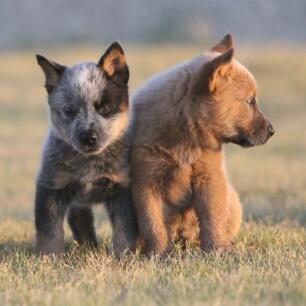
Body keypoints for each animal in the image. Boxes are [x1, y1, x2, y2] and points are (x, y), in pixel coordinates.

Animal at [35, 41, 137, 256]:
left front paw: (124, 257)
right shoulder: (51, 186)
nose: (89, 137)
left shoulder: (122, 189)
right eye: (70, 111)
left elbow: (124, 230)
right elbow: (49, 231)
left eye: (105, 108)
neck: (89, 164)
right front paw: (48, 258)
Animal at [130, 34, 274, 256]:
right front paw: (160, 253)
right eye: (250, 101)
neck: (185, 138)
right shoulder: (146, 182)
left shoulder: (210, 175)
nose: (271, 130)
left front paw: (218, 250)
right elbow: (153, 222)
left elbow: (212, 215)